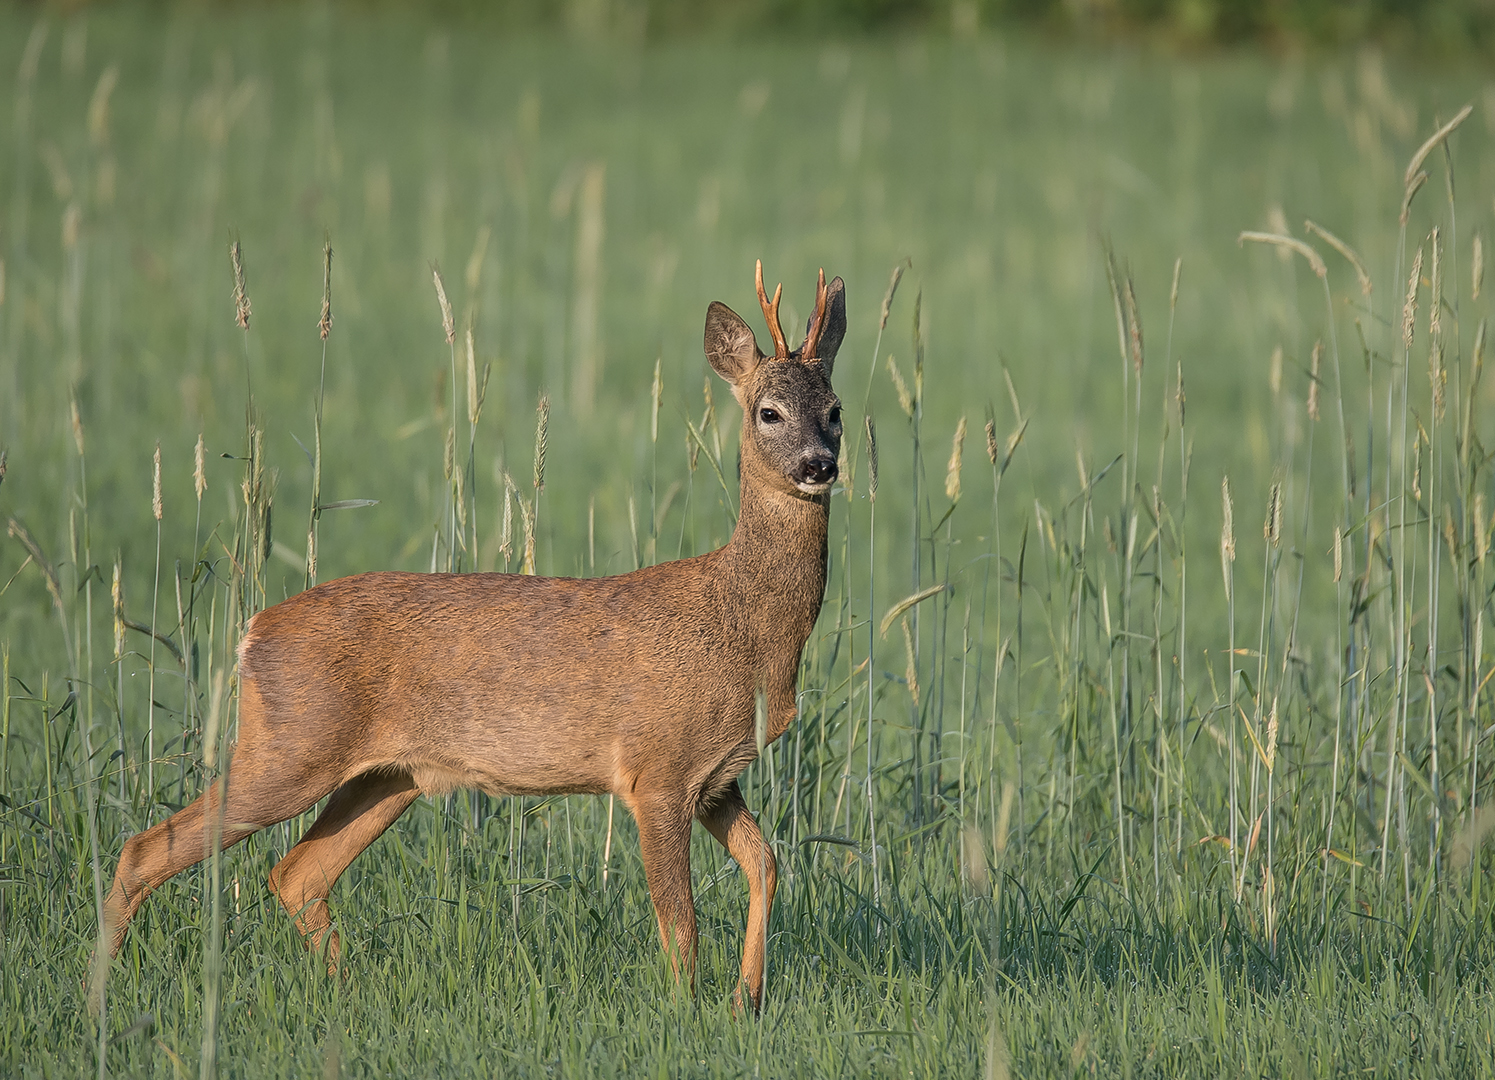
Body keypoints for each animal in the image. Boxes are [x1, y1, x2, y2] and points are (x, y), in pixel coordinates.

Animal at [99, 260, 849, 1011]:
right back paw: (98, 998)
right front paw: (687, 1013)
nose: (819, 465)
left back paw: (353, 998)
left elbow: (765, 863)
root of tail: (253, 630)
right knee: (147, 850)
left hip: (387, 777)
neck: (744, 627)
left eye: (836, 410)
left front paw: (746, 1001)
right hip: (290, 746)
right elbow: (680, 918)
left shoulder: (718, 777)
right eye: (768, 412)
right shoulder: (656, 769)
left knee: (297, 873)